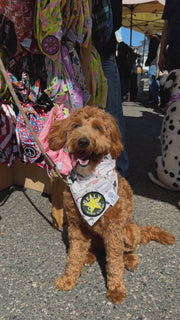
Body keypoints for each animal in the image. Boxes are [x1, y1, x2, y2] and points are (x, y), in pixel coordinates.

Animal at [47, 106, 175, 304]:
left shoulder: (114, 229)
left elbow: (114, 262)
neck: (89, 179)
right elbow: (74, 255)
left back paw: (130, 260)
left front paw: (116, 289)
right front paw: (68, 278)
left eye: (97, 128)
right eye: (76, 125)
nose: (83, 141)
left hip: (129, 230)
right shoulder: (76, 226)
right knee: (92, 248)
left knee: (129, 249)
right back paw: (89, 256)